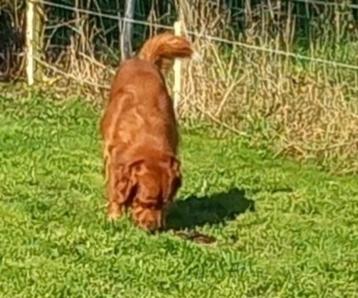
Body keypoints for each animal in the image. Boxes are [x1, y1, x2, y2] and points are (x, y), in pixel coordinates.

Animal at [100, 32, 192, 232]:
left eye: (164, 203)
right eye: (145, 202)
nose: (154, 228)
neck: (147, 135)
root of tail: (144, 60)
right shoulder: (114, 158)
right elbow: (115, 189)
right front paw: (114, 215)